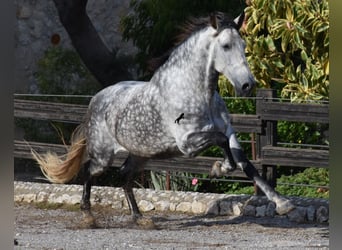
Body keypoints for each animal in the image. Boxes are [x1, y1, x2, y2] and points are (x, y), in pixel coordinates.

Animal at [32, 11, 294, 224]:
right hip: (103, 156)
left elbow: (245, 162)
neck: (195, 92)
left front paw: (283, 203)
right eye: (226, 45)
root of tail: (95, 100)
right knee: (88, 171)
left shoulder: (229, 131)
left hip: (140, 155)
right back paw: (88, 215)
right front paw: (218, 168)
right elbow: (220, 143)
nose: (247, 85)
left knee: (124, 176)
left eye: (243, 44)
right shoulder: (188, 142)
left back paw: (139, 218)